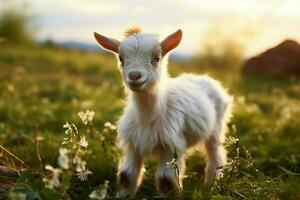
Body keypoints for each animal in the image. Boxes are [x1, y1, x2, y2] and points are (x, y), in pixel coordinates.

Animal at [94, 27, 232, 198]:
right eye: (121, 58)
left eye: (156, 58)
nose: (134, 76)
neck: (148, 115)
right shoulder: (133, 144)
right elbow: (126, 176)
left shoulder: (171, 145)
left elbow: (166, 180)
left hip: (217, 127)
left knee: (216, 154)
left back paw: (211, 185)